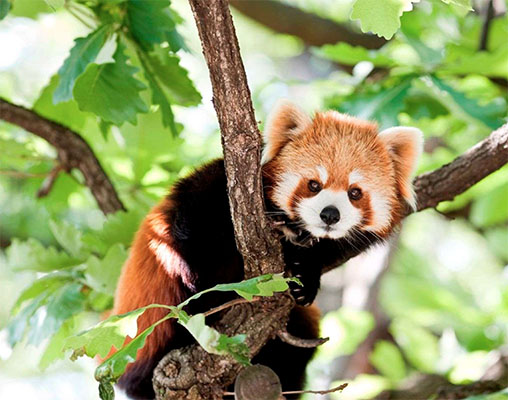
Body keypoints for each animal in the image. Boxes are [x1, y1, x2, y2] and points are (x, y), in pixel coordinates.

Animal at [112, 101, 424, 396]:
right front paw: (212, 295)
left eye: (355, 193)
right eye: (314, 185)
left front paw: (306, 278)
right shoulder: (210, 193)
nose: (330, 214)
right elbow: (197, 236)